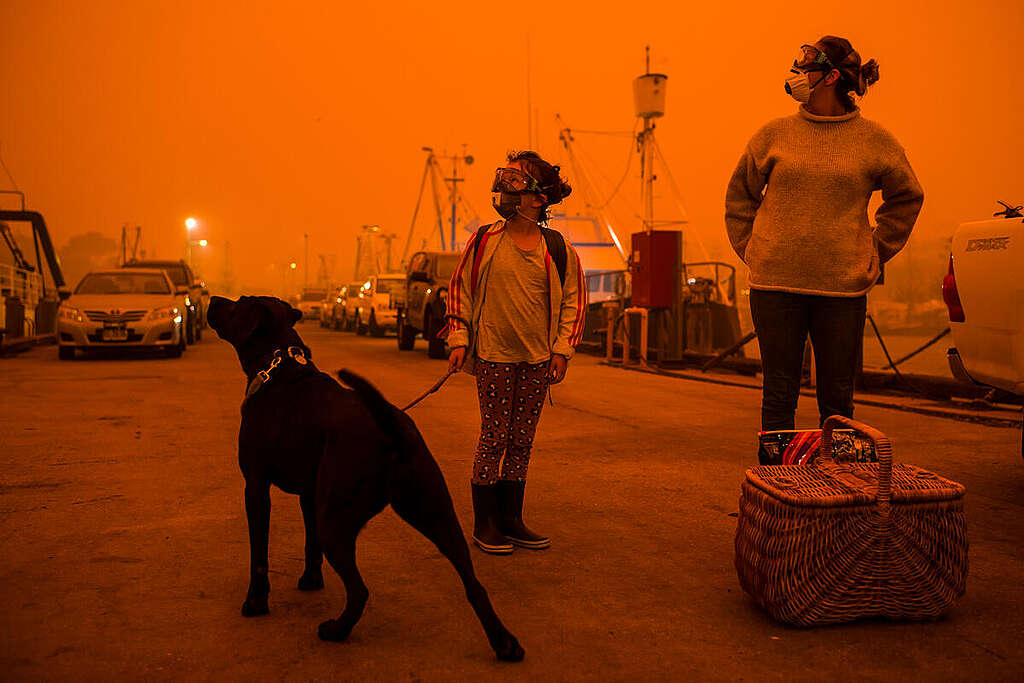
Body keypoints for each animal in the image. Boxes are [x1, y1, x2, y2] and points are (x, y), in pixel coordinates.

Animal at [208, 294, 528, 663]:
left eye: (238, 304)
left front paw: (256, 602)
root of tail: (389, 427)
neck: (279, 367)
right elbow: (309, 544)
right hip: (437, 515)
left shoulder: (256, 486)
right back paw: (504, 643)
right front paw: (311, 580)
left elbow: (259, 555)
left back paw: (336, 631)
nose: (213, 298)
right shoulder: (309, 494)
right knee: (474, 584)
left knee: (359, 591)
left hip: (335, 522)